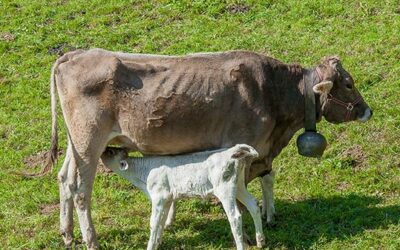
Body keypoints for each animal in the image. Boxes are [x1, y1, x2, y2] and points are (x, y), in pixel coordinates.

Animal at [100, 145, 264, 250]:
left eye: (110, 152)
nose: (102, 150)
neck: (142, 176)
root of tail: (231, 151)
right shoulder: (166, 199)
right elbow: (161, 221)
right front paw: (158, 242)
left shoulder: (159, 197)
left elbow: (154, 223)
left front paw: (151, 246)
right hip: (239, 186)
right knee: (253, 205)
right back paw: (260, 241)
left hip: (225, 189)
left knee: (235, 216)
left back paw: (242, 246)